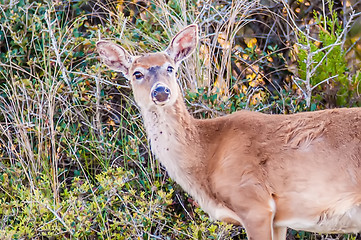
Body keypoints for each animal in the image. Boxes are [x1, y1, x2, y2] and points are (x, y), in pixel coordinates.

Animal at [95, 24, 360, 240]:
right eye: (137, 73)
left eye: (170, 68)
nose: (161, 91)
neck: (207, 154)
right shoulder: (279, 221)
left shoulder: (254, 202)